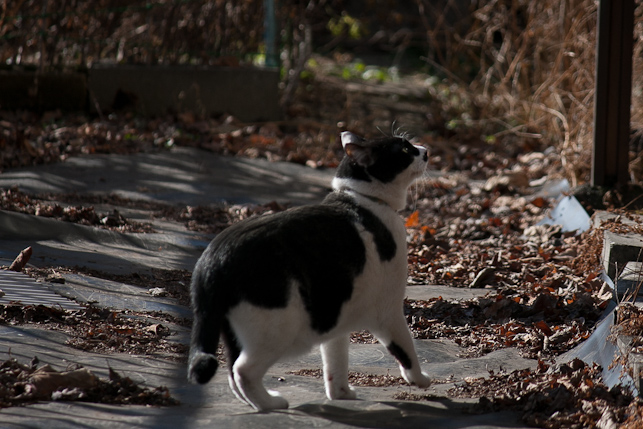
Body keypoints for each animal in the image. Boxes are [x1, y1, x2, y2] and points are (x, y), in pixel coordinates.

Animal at [189, 130, 430, 408]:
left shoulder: (337, 315)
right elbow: (406, 349)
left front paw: (341, 394)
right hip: (277, 327)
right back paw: (271, 405)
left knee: (231, 371)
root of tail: (210, 262)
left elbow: (336, 359)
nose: (426, 151)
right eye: (405, 150)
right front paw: (420, 379)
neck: (365, 201)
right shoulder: (388, 311)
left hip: (236, 331)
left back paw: (260, 402)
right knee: (243, 370)